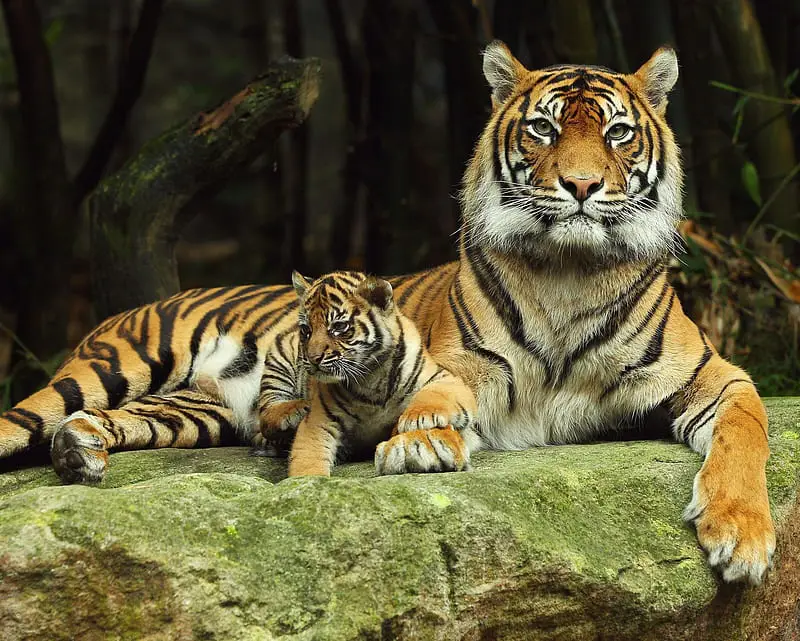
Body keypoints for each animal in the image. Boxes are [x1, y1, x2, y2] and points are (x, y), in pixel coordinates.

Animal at [0, 43, 776, 584]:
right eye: (542, 129)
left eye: (616, 134)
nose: (581, 186)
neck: (571, 273)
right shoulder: (463, 367)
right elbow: (439, 399)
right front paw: (423, 441)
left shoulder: (717, 376)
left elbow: (746, 432)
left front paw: (741, 535)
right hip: (106, 366)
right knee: (33, 415)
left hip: (193, 411)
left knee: (114, 422)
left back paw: (83, 452)